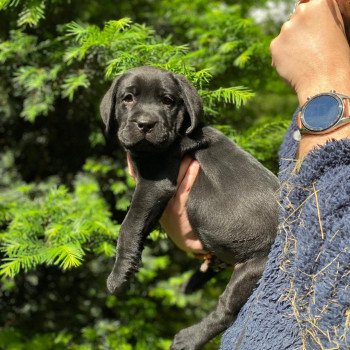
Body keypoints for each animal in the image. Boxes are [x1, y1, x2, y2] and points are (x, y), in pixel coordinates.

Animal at [100, 66, 278, 350]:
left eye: (167, 101)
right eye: (127, 98)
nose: (145, 124)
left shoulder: (154, 184)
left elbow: (129, 226)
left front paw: (119, 275)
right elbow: (140, 226)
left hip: (253, 269)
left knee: (226, 311)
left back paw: (189, 338)